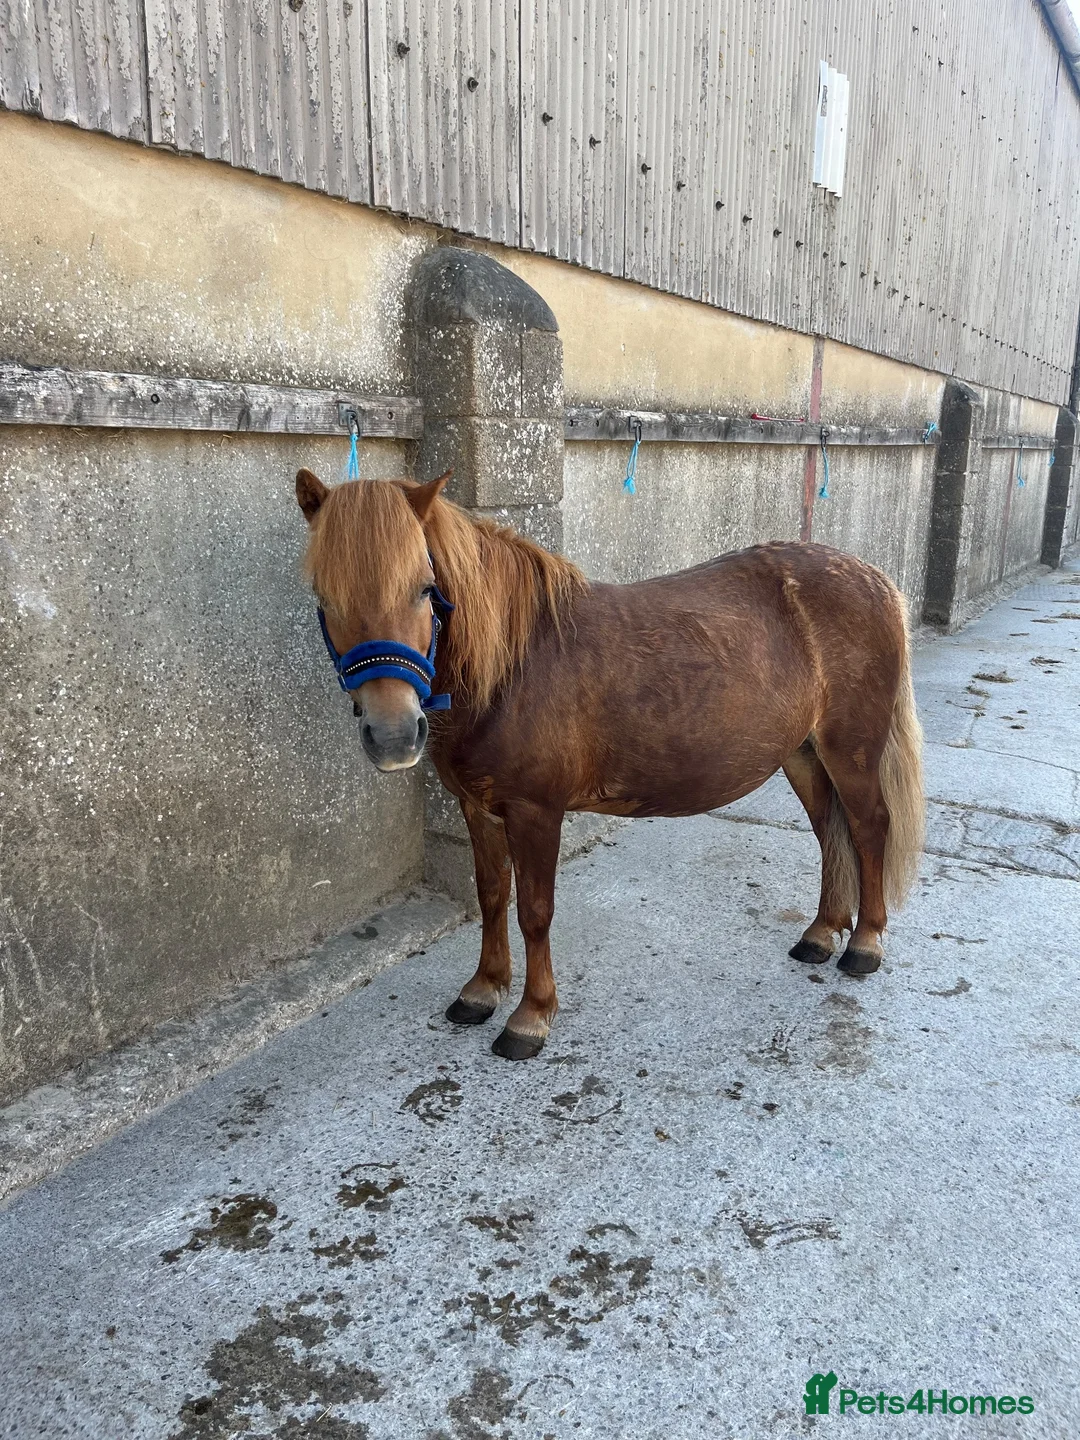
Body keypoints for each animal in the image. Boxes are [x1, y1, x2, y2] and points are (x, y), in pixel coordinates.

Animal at [295, 467, 925, 1061]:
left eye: (426, 589)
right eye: (324, 597)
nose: (394, 735)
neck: (513, 666)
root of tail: (873, 579)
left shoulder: (535, 812)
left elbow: (535, 911)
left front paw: (530, 1017)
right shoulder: (477, 807)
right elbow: (492, 895)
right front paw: (482, 990)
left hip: (851, 752)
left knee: (869, 828)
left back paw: (864, 944)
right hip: (804, 756)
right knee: (830, 833)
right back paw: (821, 935)